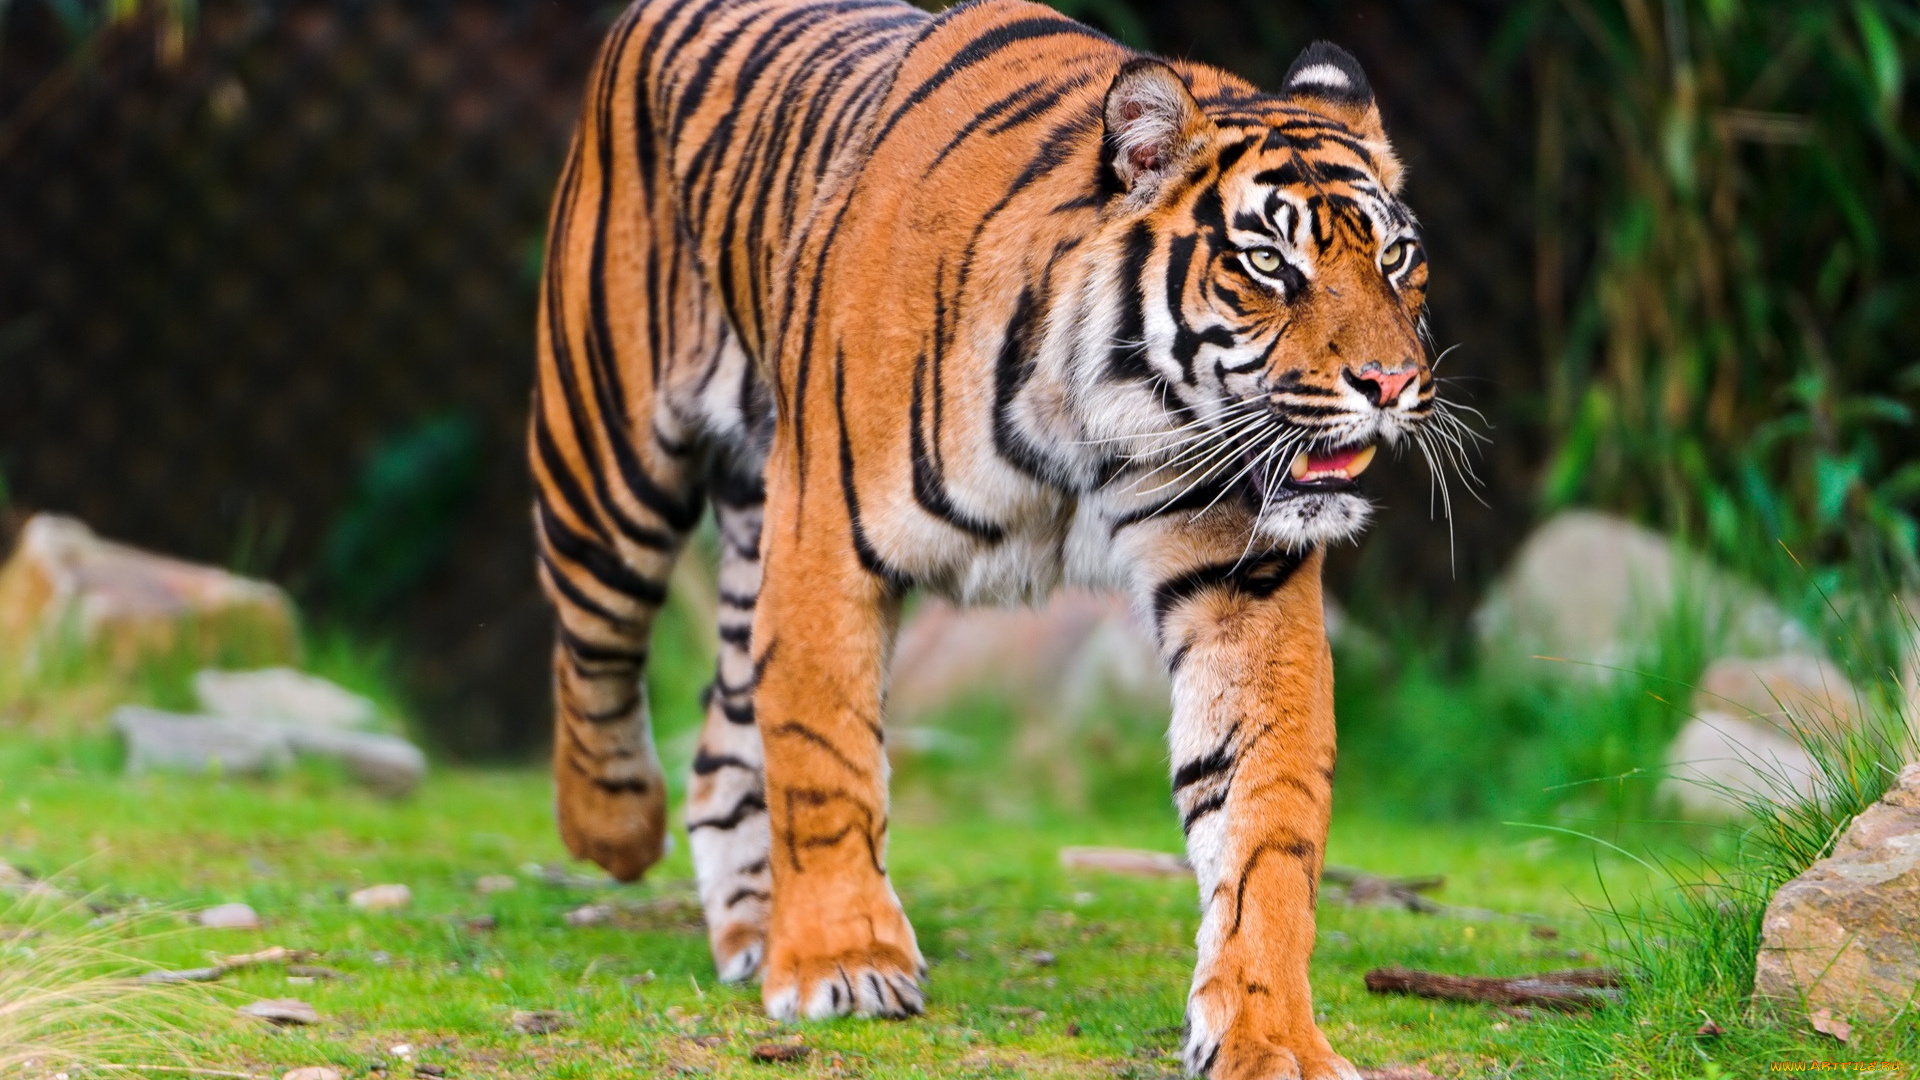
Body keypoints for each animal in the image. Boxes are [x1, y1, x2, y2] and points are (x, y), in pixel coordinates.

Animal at [530, 0, 1446, 1075]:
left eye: (1394, 259)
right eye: (1268, 262)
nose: (1391, 383)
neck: (1106, 425)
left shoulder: (1241, 574)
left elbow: (1267, 819)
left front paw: (1269, 1035)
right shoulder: (825, 538)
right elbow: (826, 753)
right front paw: (845, 960)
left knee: (723, 731)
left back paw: (756, 926)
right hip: (609, 458)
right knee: (592, 653)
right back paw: (618, 832)